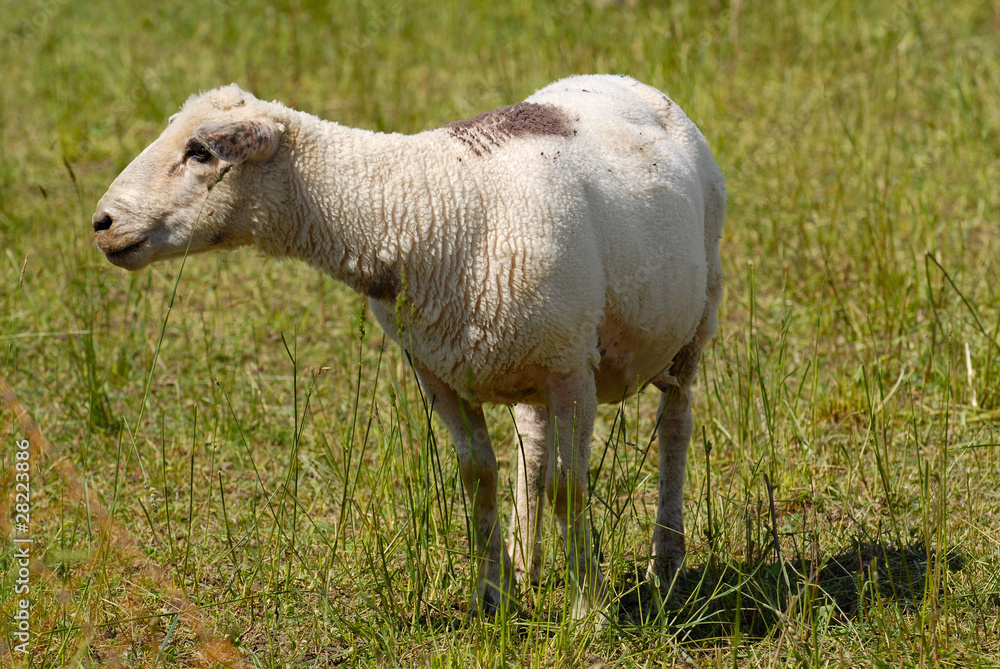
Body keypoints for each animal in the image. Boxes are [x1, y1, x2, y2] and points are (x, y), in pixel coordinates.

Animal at [92, 74, 726, 618]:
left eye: (200, 152)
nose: (101, 223)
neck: (419, 203)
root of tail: (624, 80)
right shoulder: (439, 372)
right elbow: (478, 477)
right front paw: (494, 597)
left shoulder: (571, 369)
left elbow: (571, 489)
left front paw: (587, 611)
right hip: (528, 354)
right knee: (533, 449)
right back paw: (529, 561)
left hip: (693, 319)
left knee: (675, 425)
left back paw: (666, 562)